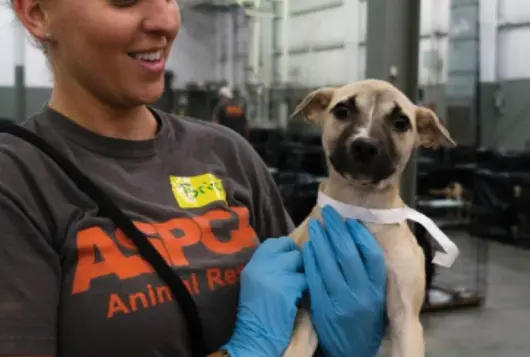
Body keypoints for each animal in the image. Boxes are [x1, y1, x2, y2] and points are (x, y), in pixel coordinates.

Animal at [280, 79, 454, 356]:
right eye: (342, 110)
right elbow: (297, 348)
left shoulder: (405, 318)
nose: (364, 145)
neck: (360, 209)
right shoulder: (308, 307)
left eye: (401, 122)